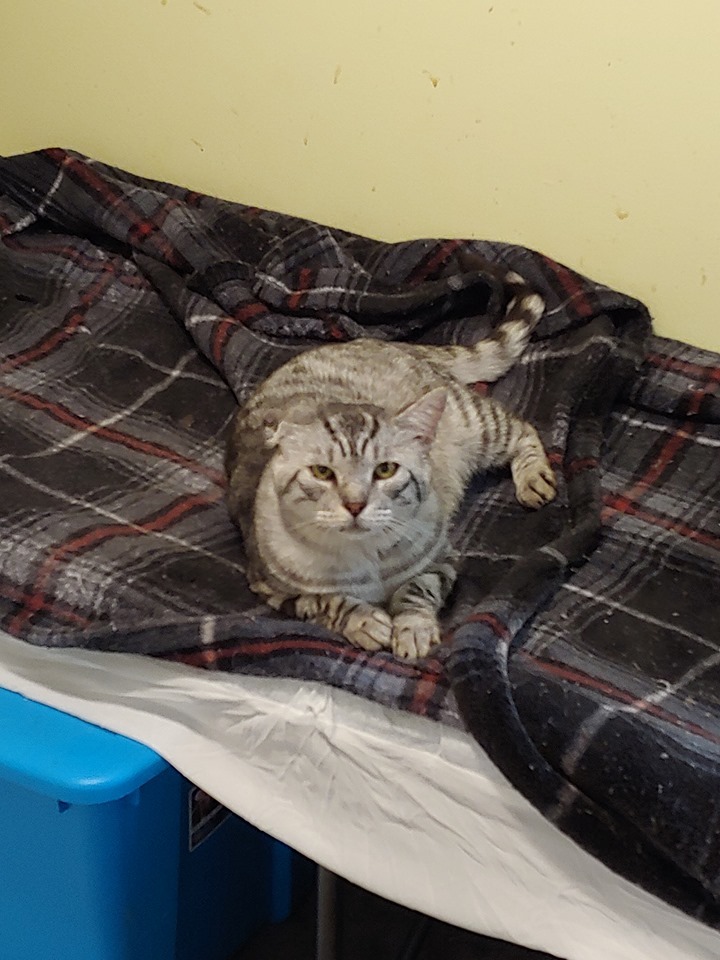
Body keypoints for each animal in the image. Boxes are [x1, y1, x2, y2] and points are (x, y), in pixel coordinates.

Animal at [226, 270, 556, 660]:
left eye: (385, 470)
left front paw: (413, 628)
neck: (367, 561)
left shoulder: (441, 559)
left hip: (476, 423)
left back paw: (534, 478)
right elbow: (326, 601)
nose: (355, 504)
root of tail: (392, 343)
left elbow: (417, 590)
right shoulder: (273, 587)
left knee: (523, 428)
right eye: (323, 472)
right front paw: (364, 619)